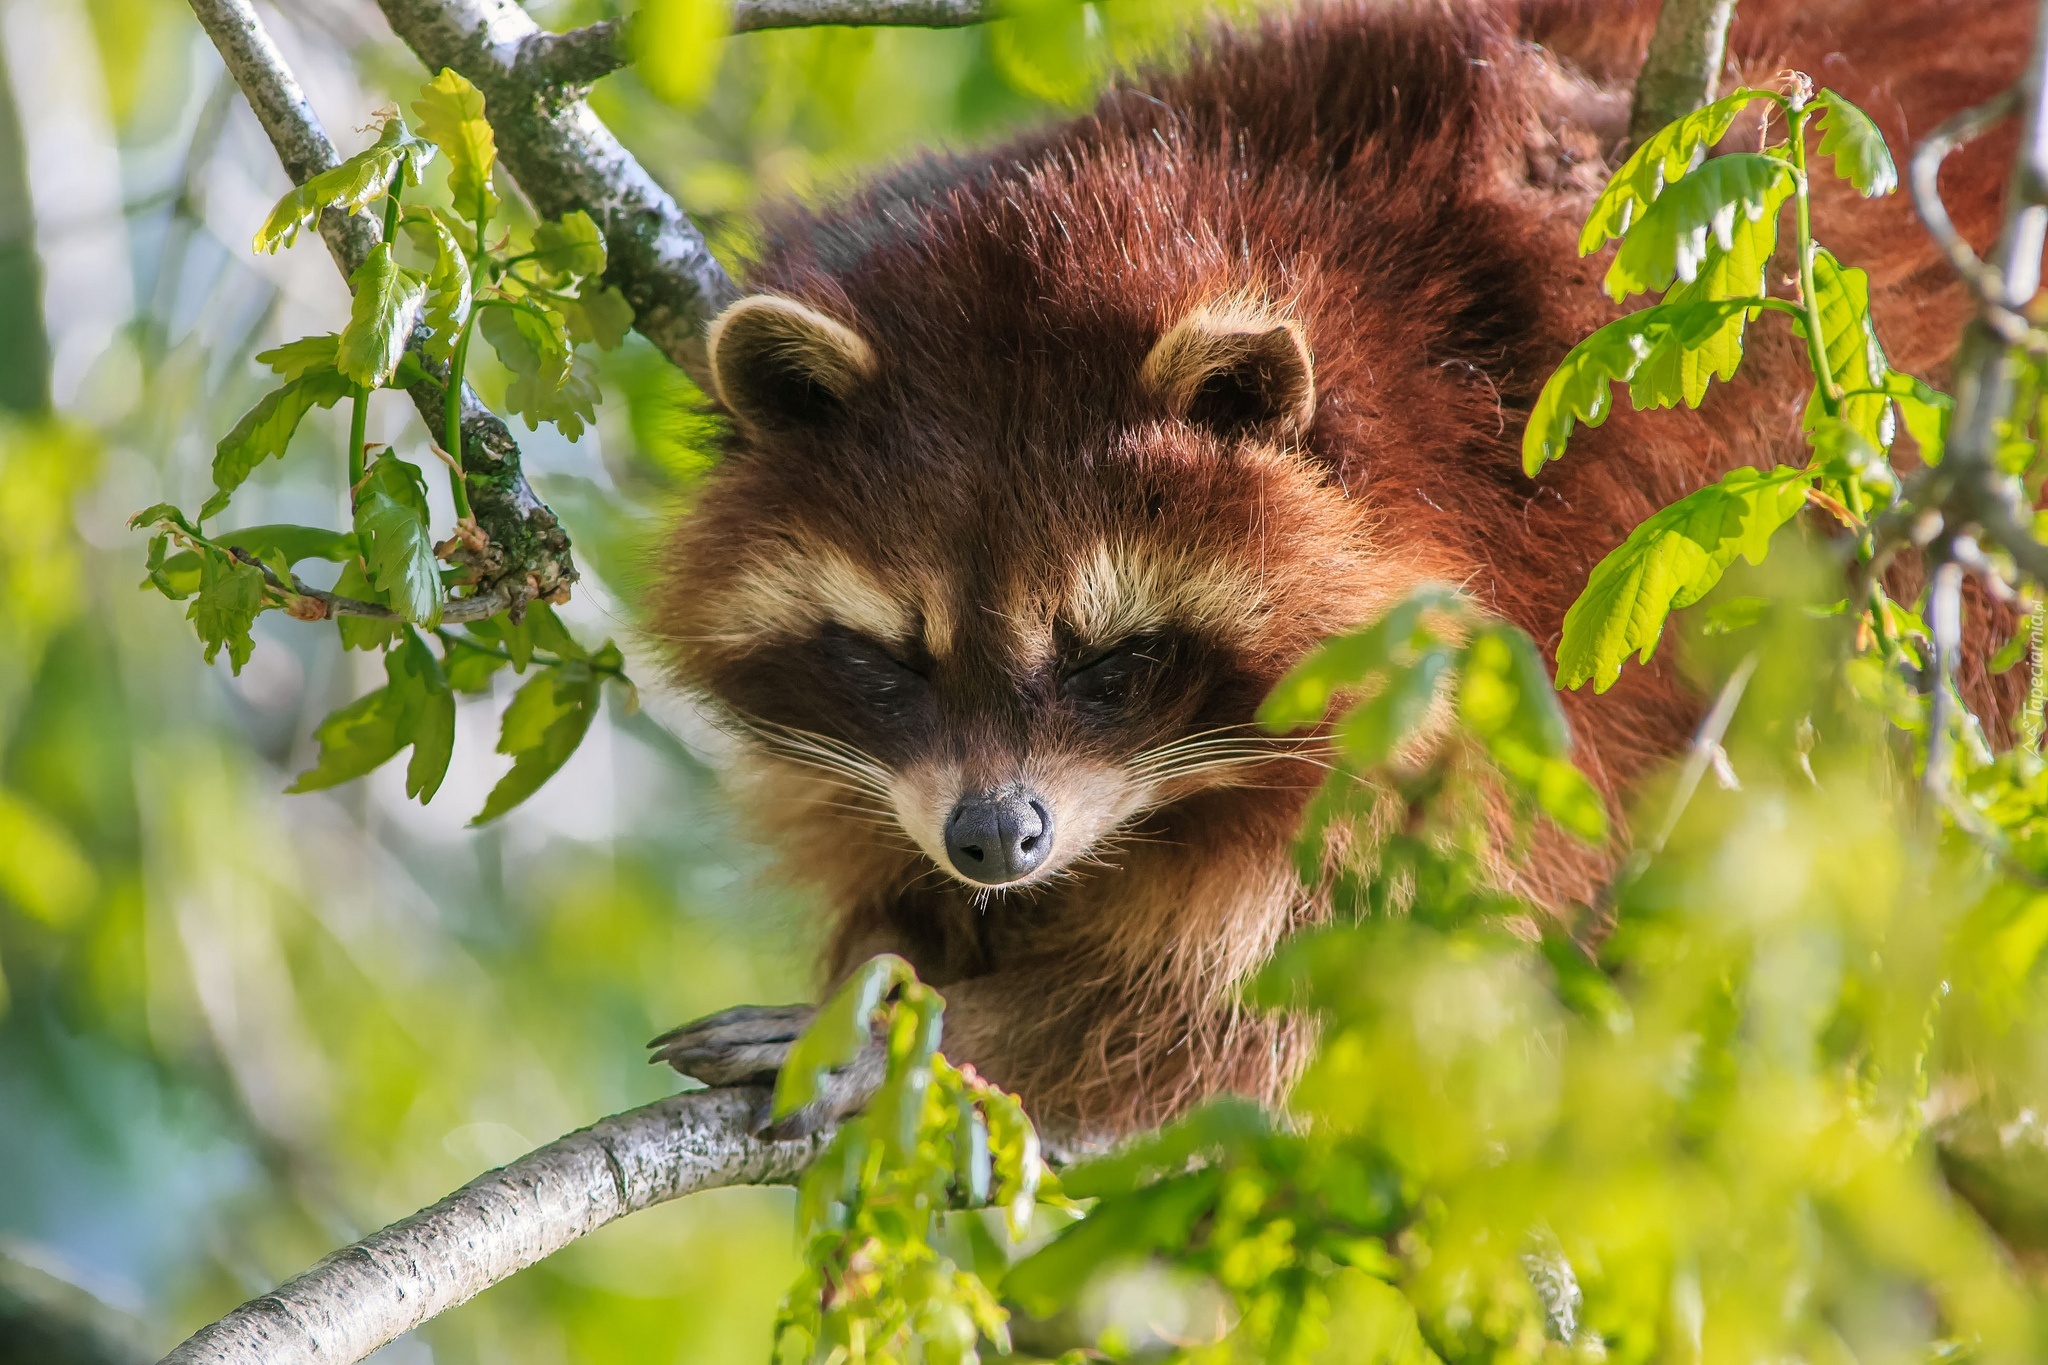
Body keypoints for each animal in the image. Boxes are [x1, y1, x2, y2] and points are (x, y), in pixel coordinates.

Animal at [651, 0, 2031, 1146]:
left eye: (1115, 662)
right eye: (894, 663)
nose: (992, 839)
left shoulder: (1547, 611)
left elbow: (1304, 994)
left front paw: (935, 1033)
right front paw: (912, 956)